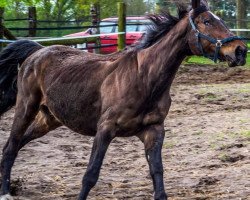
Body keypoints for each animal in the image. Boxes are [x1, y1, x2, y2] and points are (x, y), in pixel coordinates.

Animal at [0, 0, 246, 199]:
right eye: (206, 21)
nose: (240, 51)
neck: (143, 78)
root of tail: (37, 51)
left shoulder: (153, 130)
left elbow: (157, 174)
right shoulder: (105, 129)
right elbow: (90, 174)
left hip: (49, 119)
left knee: (17, 145)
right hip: (26, 107)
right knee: (11, 146)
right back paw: (5, 193)